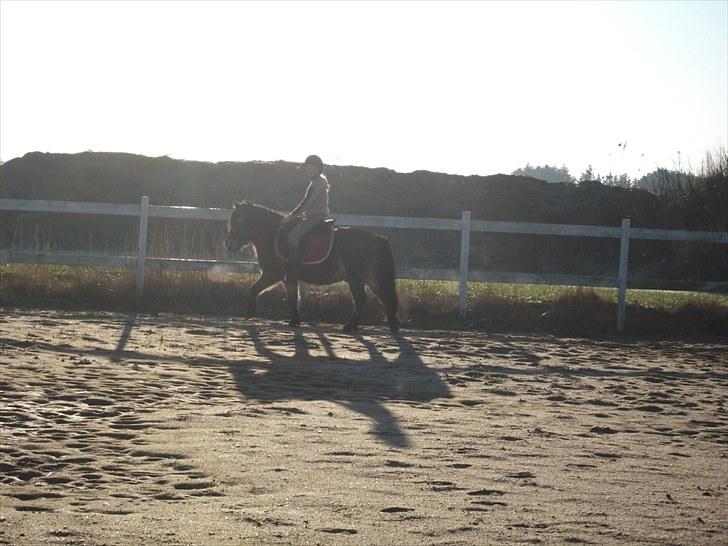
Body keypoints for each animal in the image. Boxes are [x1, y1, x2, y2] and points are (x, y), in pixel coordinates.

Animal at [225, 201, 400, 334]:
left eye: (241, 221)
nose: (229, 244)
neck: (272, 234)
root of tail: (376, 238)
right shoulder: (287, 279)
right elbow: (293, 298)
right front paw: (294, 321)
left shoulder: (273, 274)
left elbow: (255, 288)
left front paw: (249, 313)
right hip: (371, 277)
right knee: (386, 298)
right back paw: (392, 326)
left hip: (355, 278)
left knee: (362, 299)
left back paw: (351, 326)